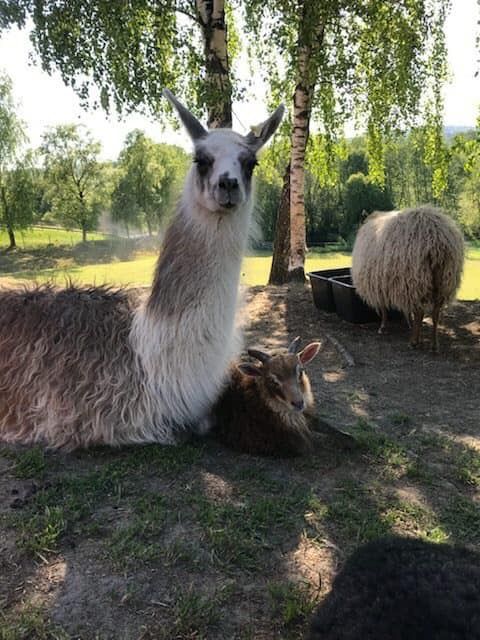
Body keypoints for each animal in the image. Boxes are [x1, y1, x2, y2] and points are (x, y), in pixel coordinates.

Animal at [351, 206, 464, 350]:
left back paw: (414, 342)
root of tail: (436, 237)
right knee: (435, 313)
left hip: (416, 279)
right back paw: (434, 344)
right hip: (443, 281)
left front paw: (383, 327)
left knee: (420, 312)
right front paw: (409, 323)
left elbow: (384, 309)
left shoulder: (380, 286)